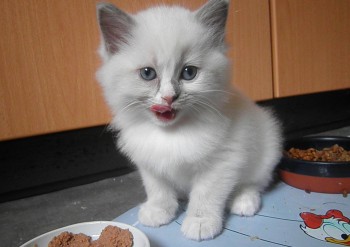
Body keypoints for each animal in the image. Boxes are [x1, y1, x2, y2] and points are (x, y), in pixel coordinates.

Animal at [97, 0, 284, 240]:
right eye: (148, 74)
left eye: (189, 73)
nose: (169, 97)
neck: (170, 133)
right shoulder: (149, 161)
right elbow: (158, 189)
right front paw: (159, 211)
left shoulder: (221, 162)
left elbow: (205, 195)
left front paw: (200, 222)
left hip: (266, 150)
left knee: (255, 182)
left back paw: (244, 201)